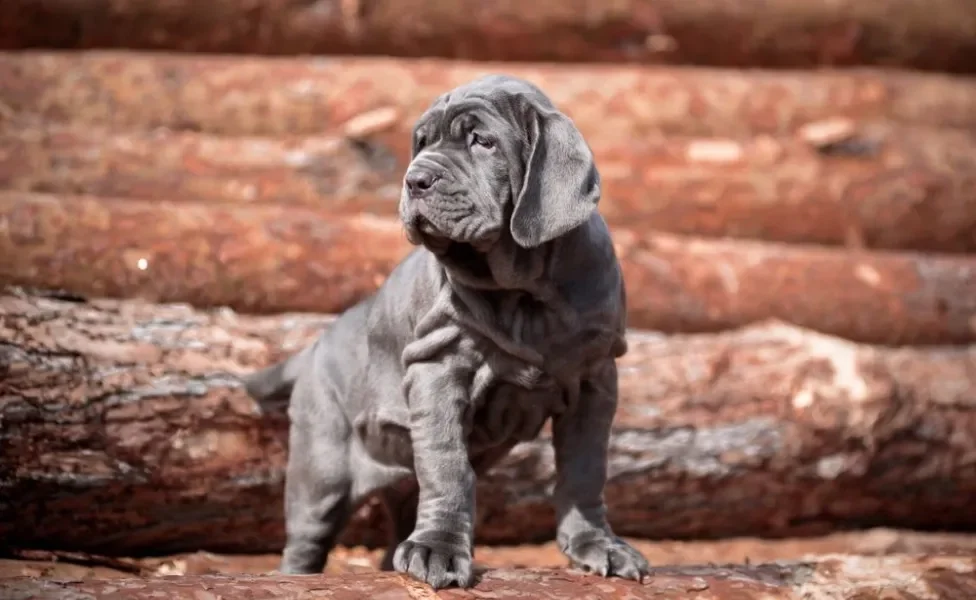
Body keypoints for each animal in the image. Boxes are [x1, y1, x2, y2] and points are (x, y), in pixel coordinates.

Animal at [244, 75, 648, 592]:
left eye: (482, 141)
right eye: (421, 143)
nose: (415, 180)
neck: (524, 292)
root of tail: (313, 348)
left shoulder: (595, 376)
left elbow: (585, 468)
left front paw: (598, 546)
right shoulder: (438, 367)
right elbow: (448, 466)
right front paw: (438, 549)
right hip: (321, 470)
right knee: (305, 540)